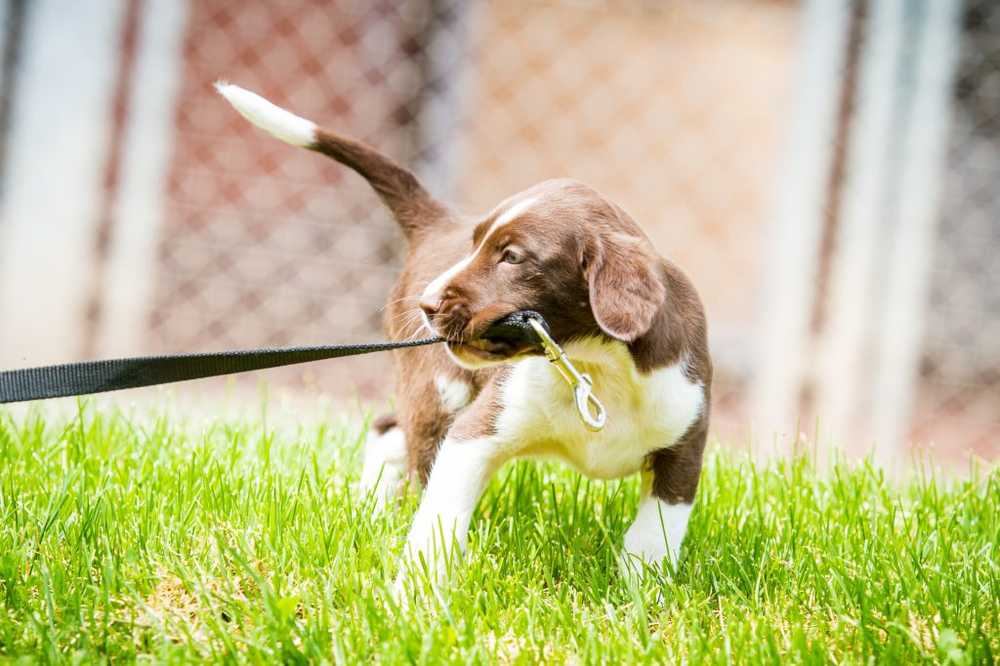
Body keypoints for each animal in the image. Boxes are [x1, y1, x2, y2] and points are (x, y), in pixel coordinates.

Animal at [217, 83, 712, 580]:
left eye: (512, 257)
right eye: (474, 246)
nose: (427, 305)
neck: (595, 367)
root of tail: (437, 223)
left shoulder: (684, 448)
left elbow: (654, 535)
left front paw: (640, 588)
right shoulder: (474, 433)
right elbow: (439, 515)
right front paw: (418, 586)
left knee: (390, 431)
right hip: (438, 391)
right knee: (398, 437)